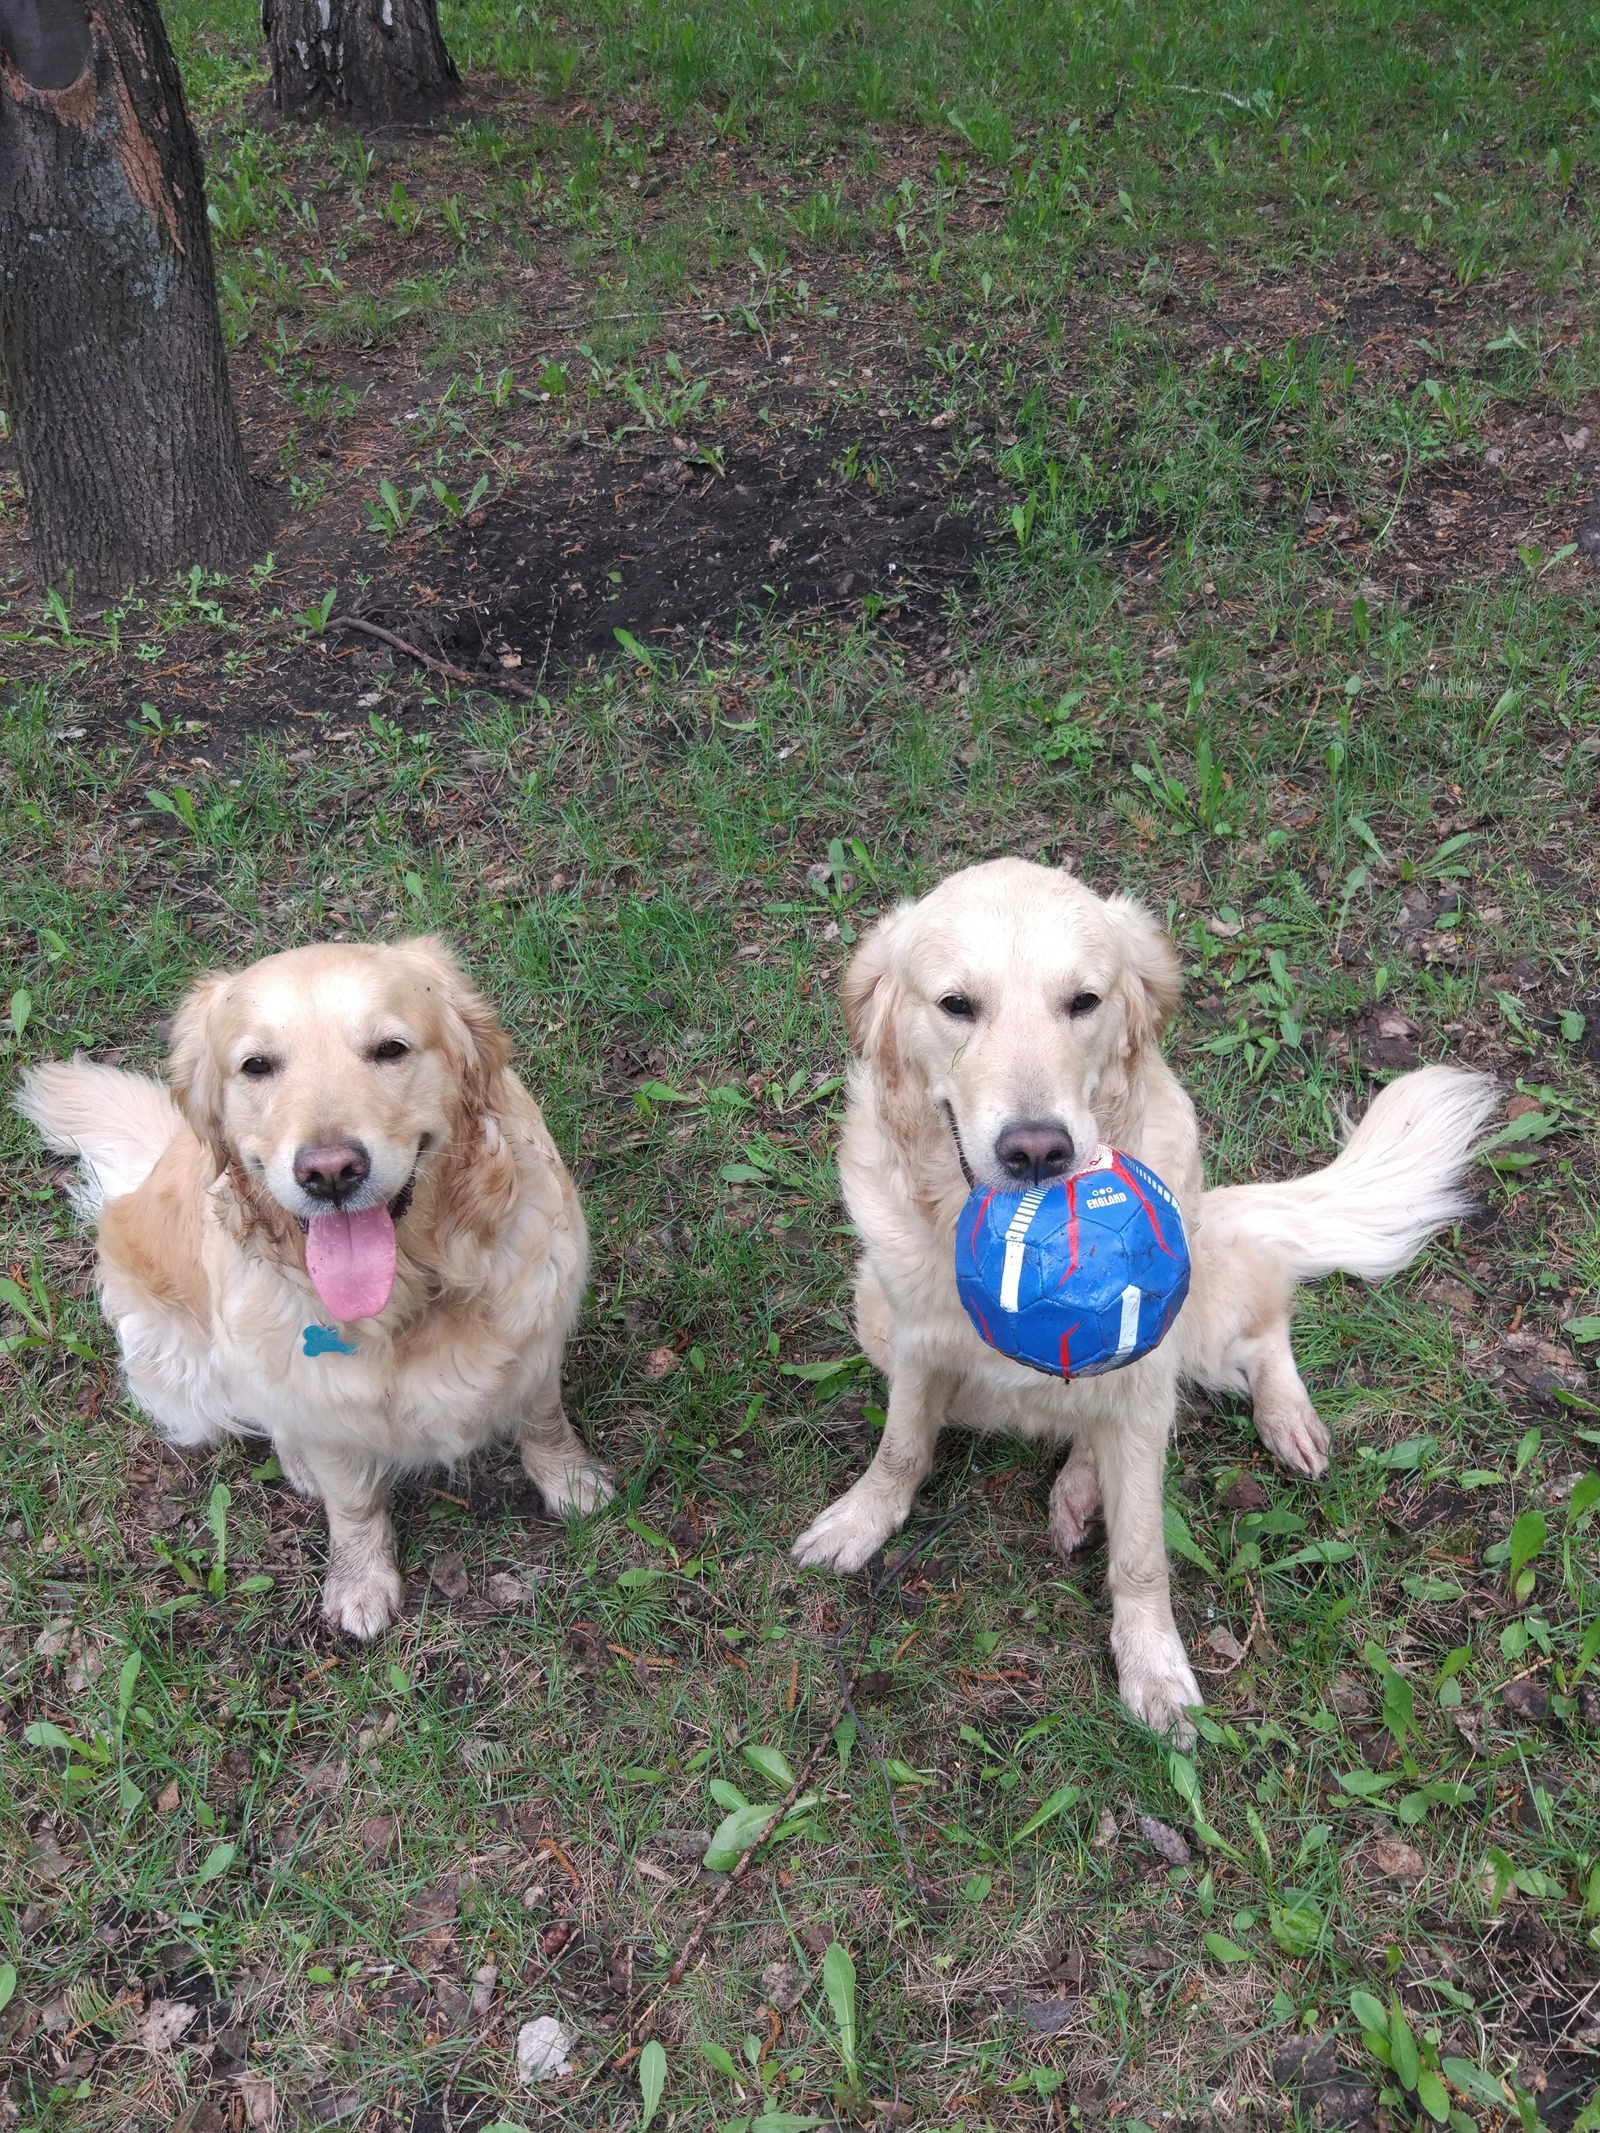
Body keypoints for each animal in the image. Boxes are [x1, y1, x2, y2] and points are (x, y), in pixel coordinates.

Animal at [18, 942, 605, 1638]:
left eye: (390, 1049)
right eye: (256, 1066)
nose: (330, 1172)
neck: (410, 1295)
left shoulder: (537, 1333)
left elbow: (543, 1420)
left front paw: (572, 1482)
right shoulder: (317, 1404)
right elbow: (351, 1502)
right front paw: (360, 1580)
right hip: (181, 1365)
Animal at [797, 857, 1501, 1740]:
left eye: (1083, 1001)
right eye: (957, 1004)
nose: (1038, 1151)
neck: (959, 1216)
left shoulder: (1138, 1377)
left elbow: (1141, 1553)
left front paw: (1153, 1666)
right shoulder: (917, 1338)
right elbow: (900, 1449)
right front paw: (861, 1520)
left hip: (1200, 1307)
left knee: (1263, 1315)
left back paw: (1282, 1421)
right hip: (872, 1311)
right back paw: (1078, 1484)